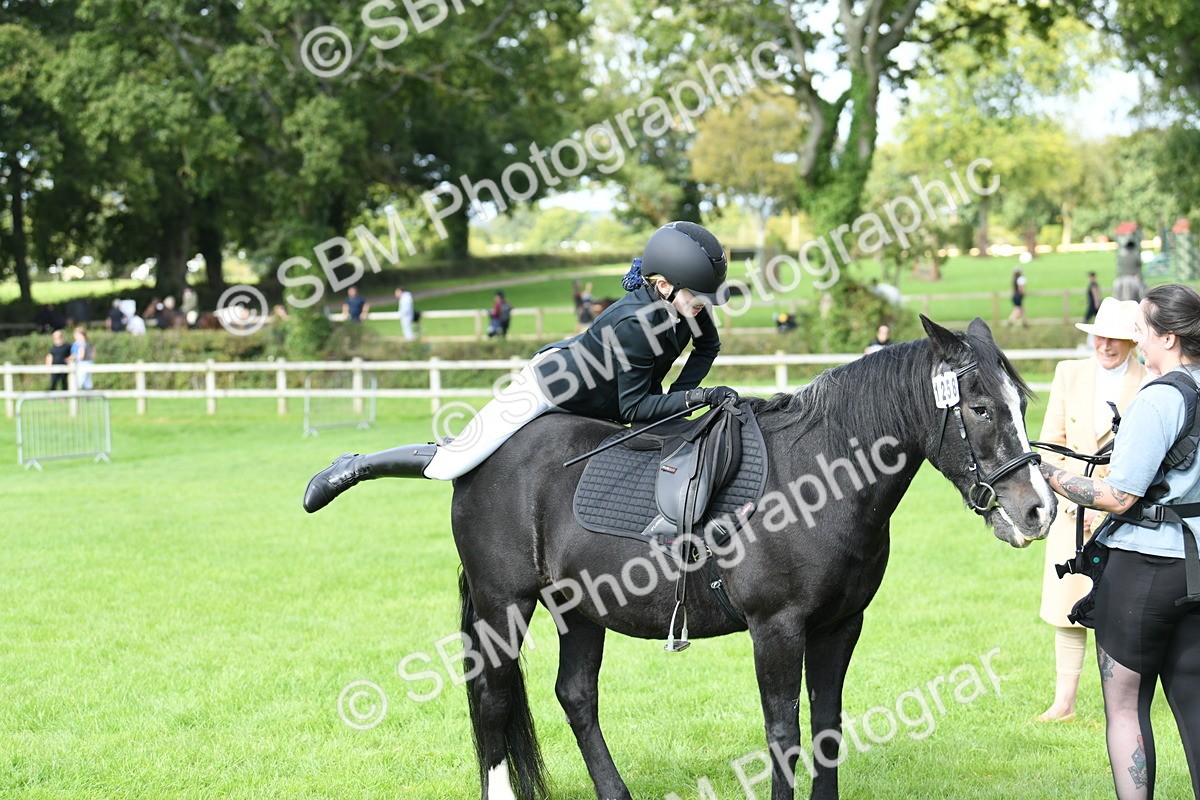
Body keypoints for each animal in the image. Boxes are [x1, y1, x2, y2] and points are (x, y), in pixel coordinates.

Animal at [447, 316, 1056, 800]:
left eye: (1022, 404)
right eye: (980, 408)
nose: (1039, 510)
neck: (817, 479)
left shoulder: (840, 625)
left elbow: (827, 729)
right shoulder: (776, 628)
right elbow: (783, 736)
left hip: (577, 610)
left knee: (576, 695)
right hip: (504, 606)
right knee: (493, 698)